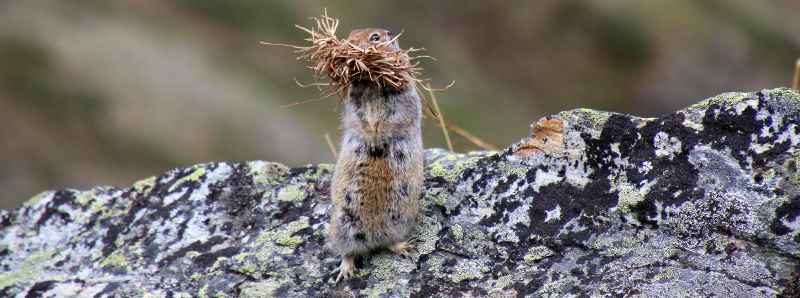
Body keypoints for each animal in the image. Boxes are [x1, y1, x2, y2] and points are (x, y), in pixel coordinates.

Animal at [326, 28, 424, 282]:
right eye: (350, 34)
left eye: (376, 37)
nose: (350, 45)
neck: (370, 84)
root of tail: (371, 238)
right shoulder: (354, 102)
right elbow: (359, 120)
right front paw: (371, 138)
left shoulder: (402, 96)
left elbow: (394, 119)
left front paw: (379, 139)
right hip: (342, 223)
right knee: (348, 251)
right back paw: (345, 271)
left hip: (399, 218)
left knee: (388, 243)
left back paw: (405, 247)